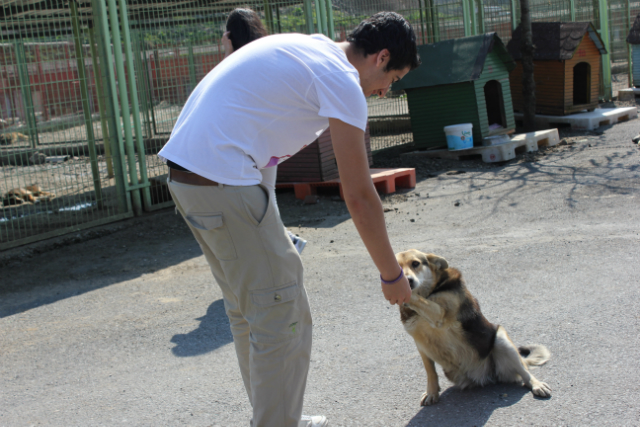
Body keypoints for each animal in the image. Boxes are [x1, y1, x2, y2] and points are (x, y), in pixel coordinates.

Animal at [396, 251, 552, 408]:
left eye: (415, 263)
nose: (408, 281)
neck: (430, 291)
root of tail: (485, 376)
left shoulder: (439, 314)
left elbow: (416, 298)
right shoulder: (421, 343)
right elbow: (430, 372)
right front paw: (432, 393)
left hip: (501, 339)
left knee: (525, 372)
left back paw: (536, 384)